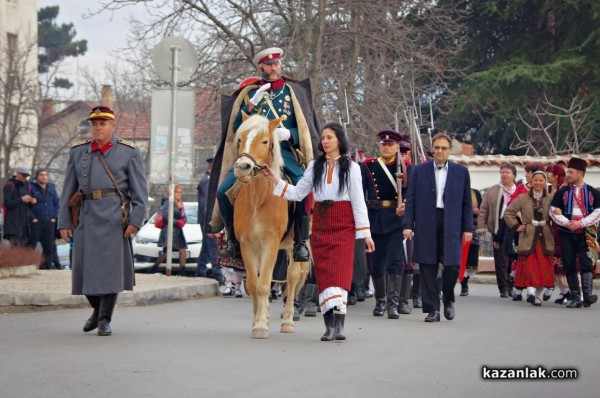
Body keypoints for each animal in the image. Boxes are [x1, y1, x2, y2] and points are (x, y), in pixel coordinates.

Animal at [231, 112, 304, 338]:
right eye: (240, 139)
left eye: (265, 141)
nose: (242, 167)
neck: (259, 198)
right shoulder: (247, 244)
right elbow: (254, 284)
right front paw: (258, 320)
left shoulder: (271, 242)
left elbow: (264, 284)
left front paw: (261, 325)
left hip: (292, 245)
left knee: (292, 277)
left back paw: (288, 320)